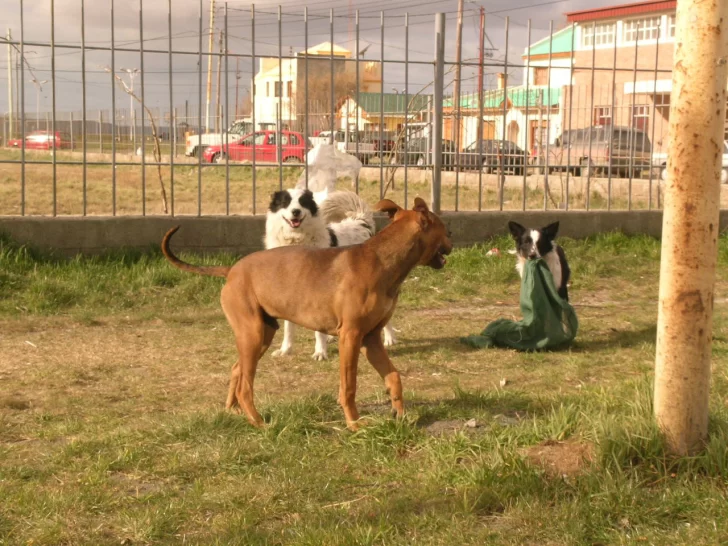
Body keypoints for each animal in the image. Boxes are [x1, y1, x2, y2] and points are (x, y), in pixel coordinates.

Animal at [264, 189, 396, 360]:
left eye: (302, 202)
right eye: (285, 202)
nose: (296, 211)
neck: (296, 241)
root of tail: (359, 222)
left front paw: (320, 352)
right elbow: (289, 327)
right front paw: (285, 350)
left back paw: (389, 338)